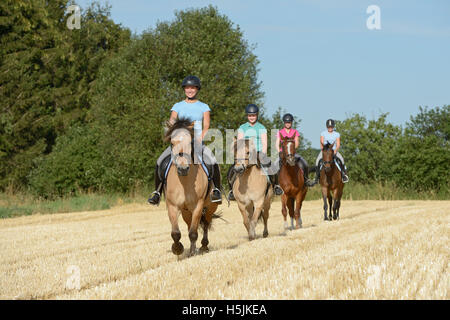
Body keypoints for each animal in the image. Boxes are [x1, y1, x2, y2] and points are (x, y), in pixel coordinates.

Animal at [163, 119, 220, 256]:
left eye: (190, 143)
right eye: (172, 143)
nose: (183, 169)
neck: (184, 182)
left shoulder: (198, 206)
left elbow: (194, 233)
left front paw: (192, 252)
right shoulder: (172, 206)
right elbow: (176, 233)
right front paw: (177, 249)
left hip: (210, 207)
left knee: (205, 224)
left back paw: (204, 246)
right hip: (186, 211)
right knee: (190, 225)